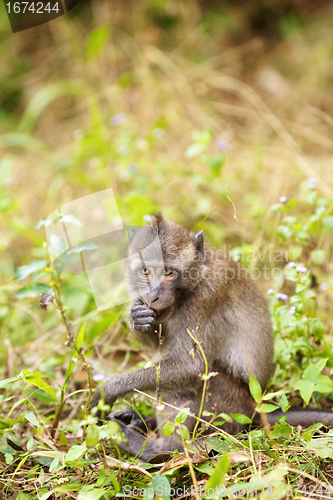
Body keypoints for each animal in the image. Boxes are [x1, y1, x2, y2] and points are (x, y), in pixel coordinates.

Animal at [90, 213, 332, 458]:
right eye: (145, 271)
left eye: (168, 272)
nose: (153, 294)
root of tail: (254, 407)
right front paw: (138, 318)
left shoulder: (204, 299)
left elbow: (191, 368)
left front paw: (107, 390)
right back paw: (141, 421)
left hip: (228, 406)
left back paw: (157, 448)